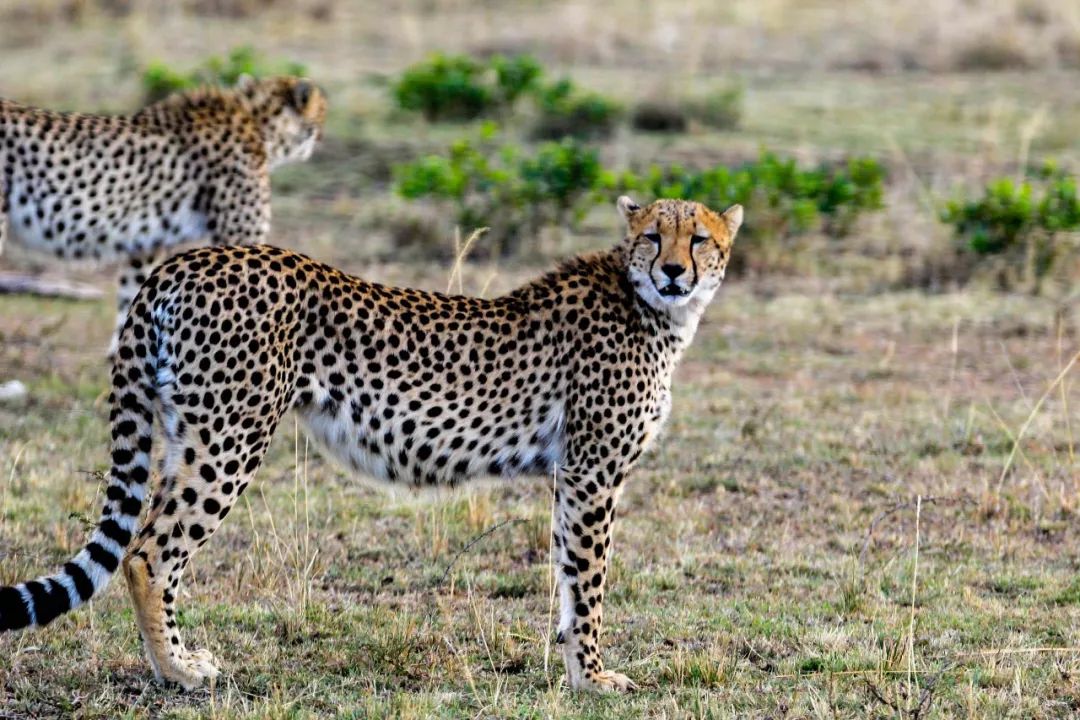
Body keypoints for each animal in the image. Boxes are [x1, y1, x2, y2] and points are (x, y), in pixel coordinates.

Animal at [0, 195, 743, 690]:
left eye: (700, 240)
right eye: (655, 236)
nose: (674, 272)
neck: (651, 307)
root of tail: (189, 260)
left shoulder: (571, 476)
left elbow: (566, 577)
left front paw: (574, 669)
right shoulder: (593, 473)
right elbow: (588, 582)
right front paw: (592, 679)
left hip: (191, 431)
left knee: (146, 537)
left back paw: (174, 661)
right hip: (230, 437)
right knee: (149, 552)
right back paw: (179, 671)